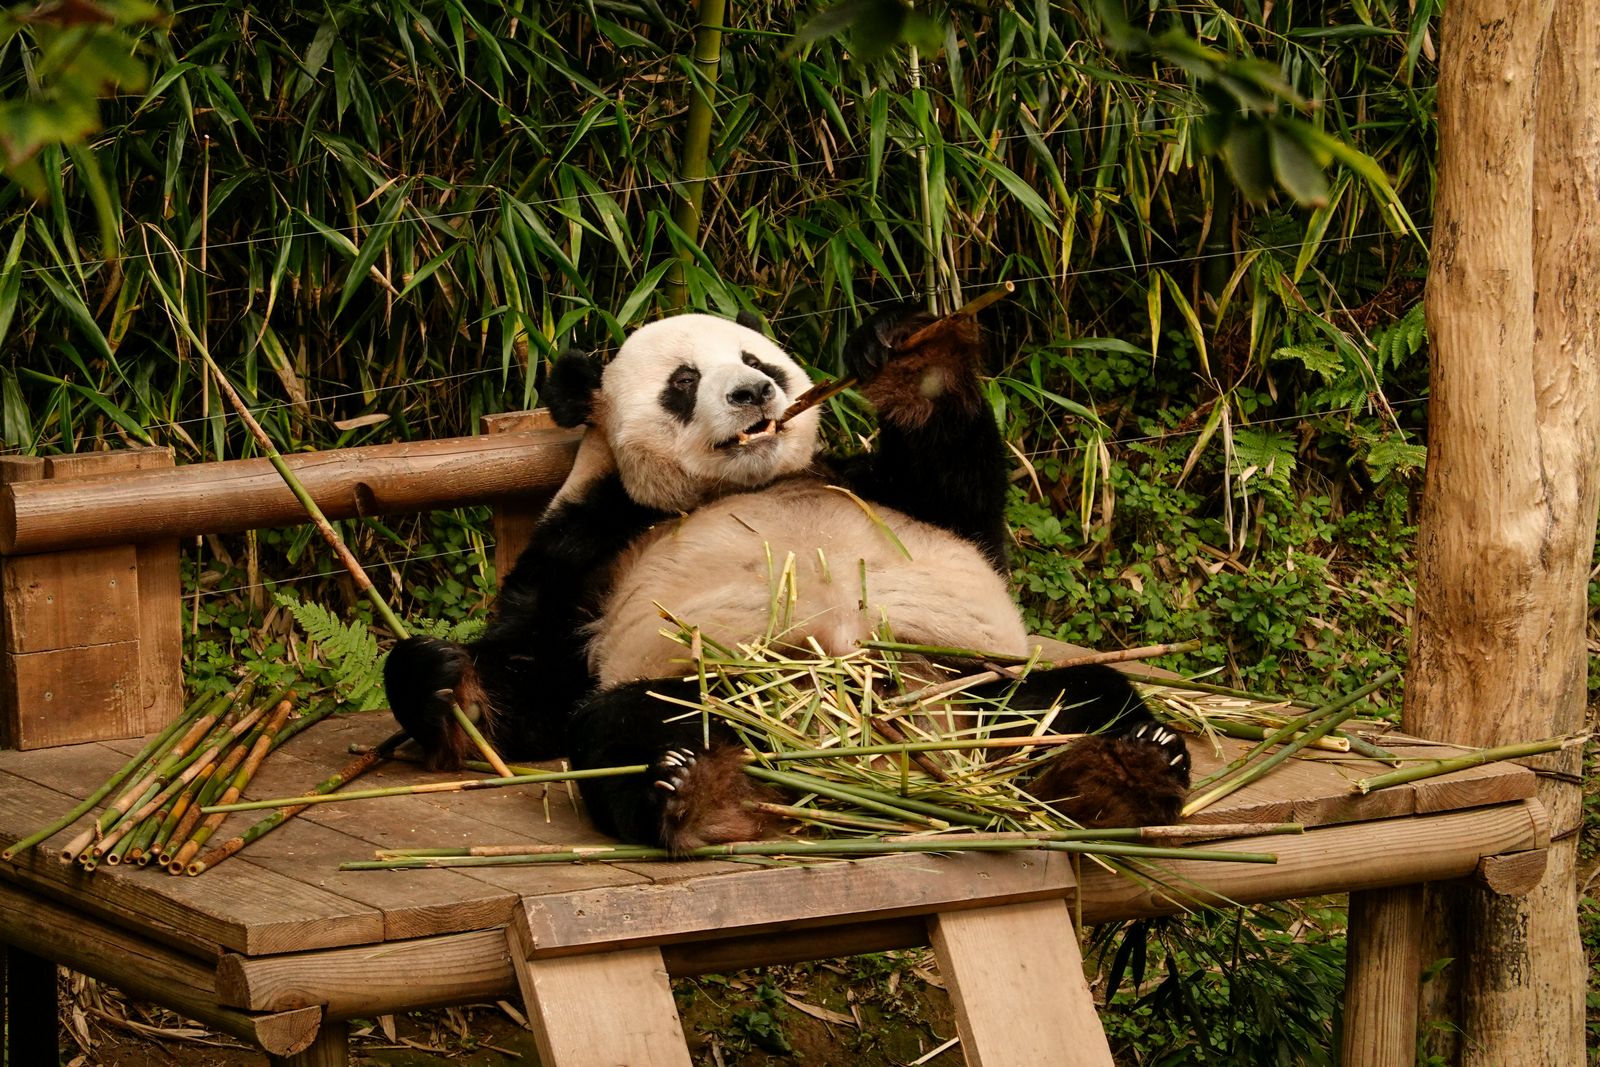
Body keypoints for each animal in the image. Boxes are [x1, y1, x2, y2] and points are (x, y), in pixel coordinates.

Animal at [383, 306, 1191, 853]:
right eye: (684, 382)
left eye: (758, 360)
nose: (750, 394)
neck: (752, 480)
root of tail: (881, 758)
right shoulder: (594, 536)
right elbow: (537, 675)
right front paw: (439, 679)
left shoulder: (873, 488)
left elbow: (967, 507)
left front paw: (906, 351)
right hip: (719, 692)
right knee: (624, 727)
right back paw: (691, 793)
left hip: (967, 678)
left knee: (1076, 698)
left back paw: (1132, 767)